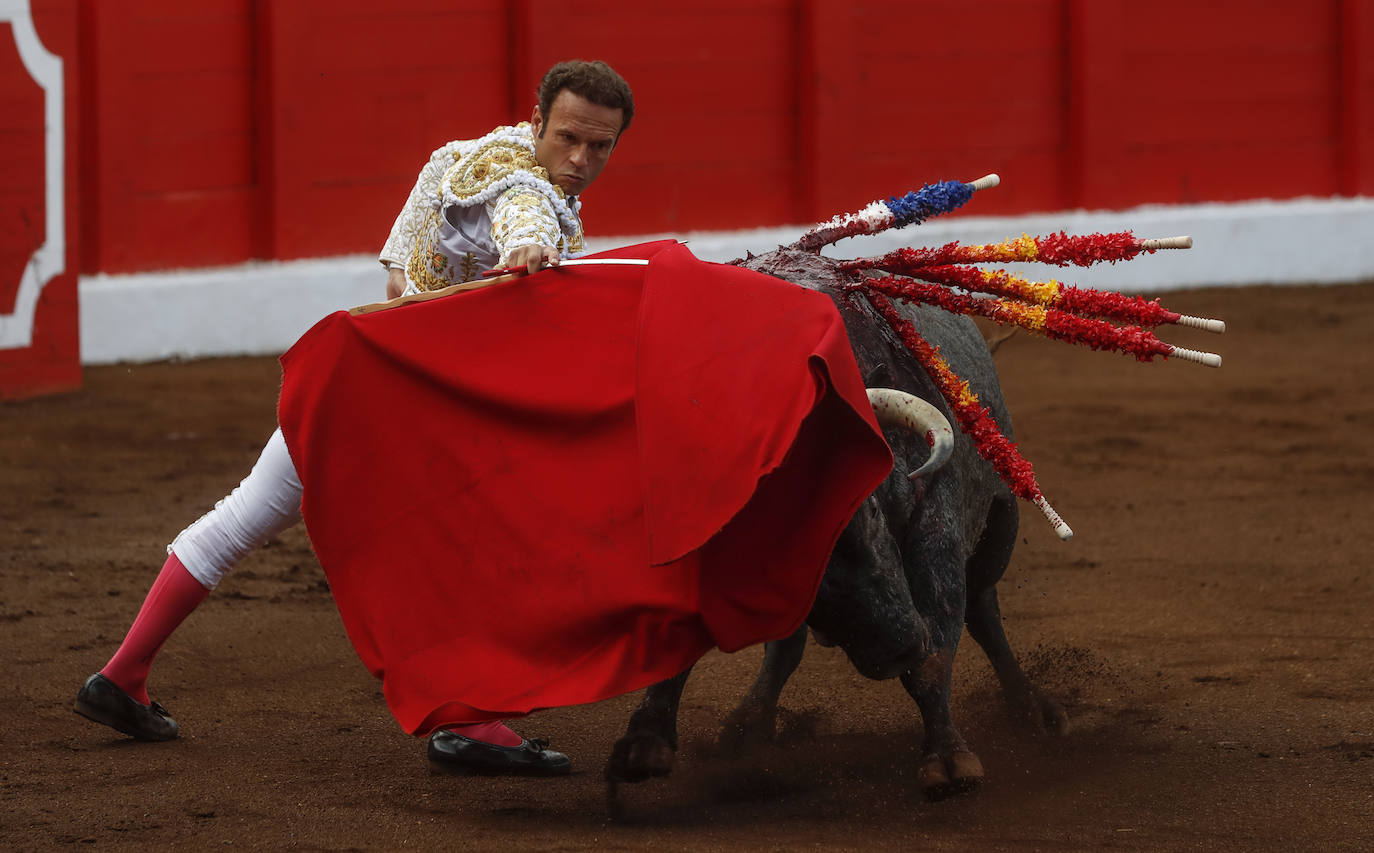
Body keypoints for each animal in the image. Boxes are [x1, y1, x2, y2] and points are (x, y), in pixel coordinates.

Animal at [607, 244, 1066, 796]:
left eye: (868, 508)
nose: (901, 646)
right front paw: (646, 740)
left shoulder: (933, 524)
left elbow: (938, 652)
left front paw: (949, 757)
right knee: (787, 648)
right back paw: (749, 725)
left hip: (1000, 522)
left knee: (982, 611)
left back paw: (1032, 711)